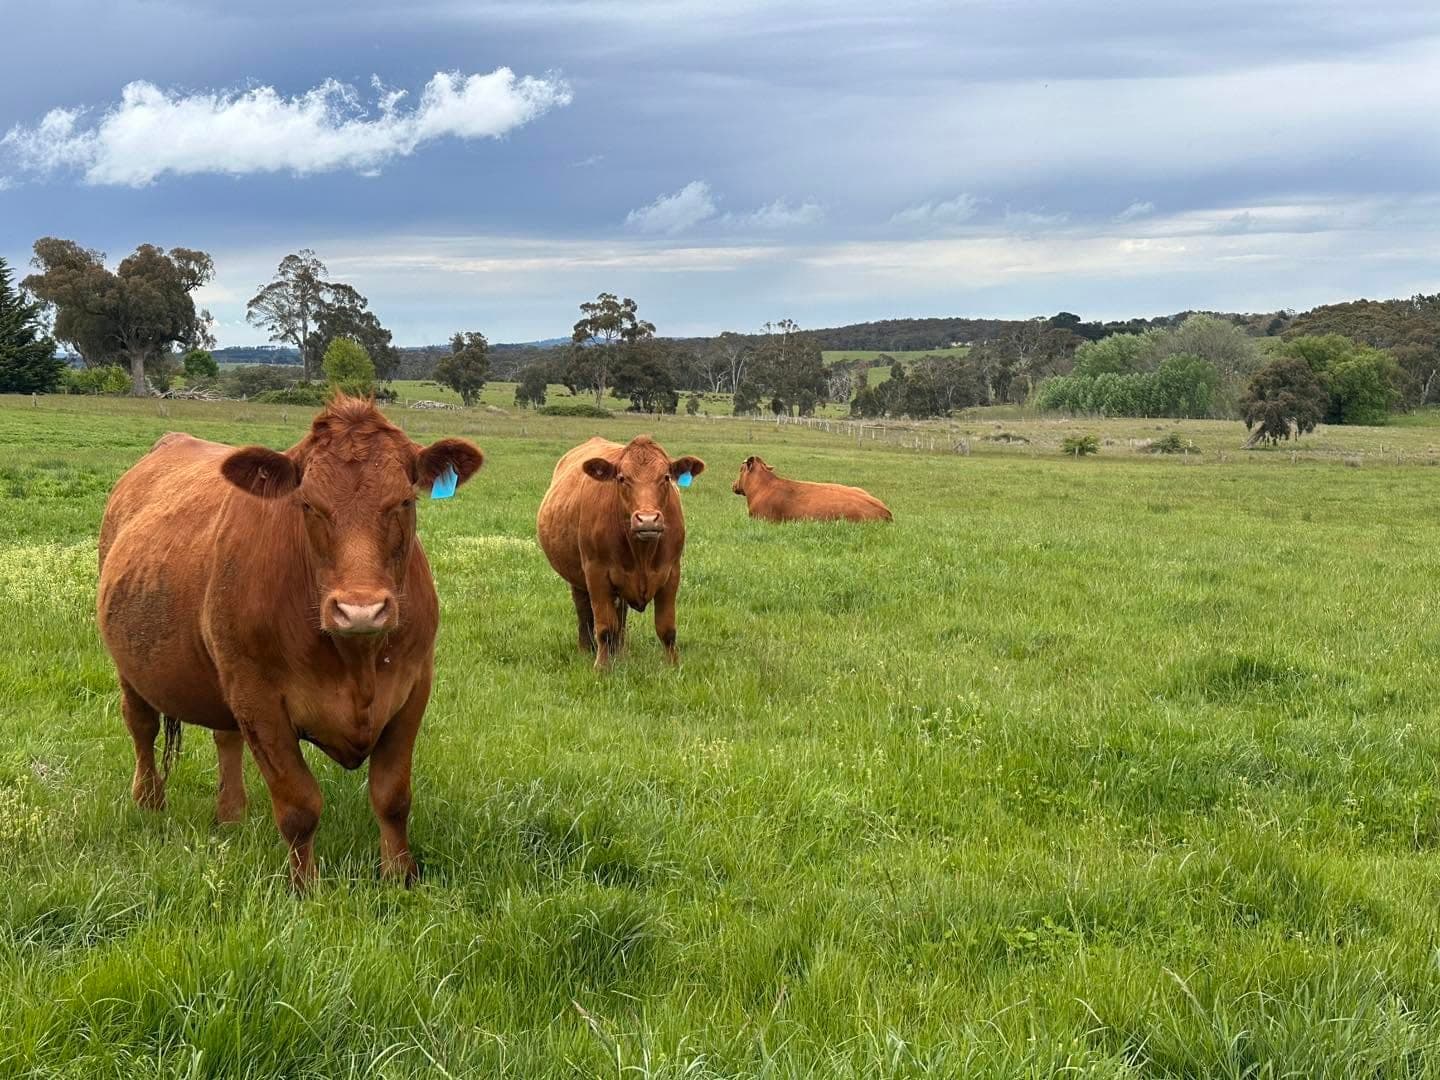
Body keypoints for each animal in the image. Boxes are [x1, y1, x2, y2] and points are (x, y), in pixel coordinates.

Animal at [96, 395, 483, 889]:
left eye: (404, 500)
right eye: (308, 505)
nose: (361, 609)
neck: (356, 660)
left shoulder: (413, 688)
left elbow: (393, 797)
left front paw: (400, 877)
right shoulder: (258, 700)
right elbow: (299, 806)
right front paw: (305, 888)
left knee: (225, 738)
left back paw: (231, 816)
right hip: (132, 666)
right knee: (141, 725)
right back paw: (149, 803)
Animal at [536, 435, 705, 668]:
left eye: (666, 477)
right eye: (622, 478)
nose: (647, 520)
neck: (642, 552)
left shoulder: (671, 573)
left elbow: (667, 628)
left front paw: (673, 665)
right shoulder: (596, 573)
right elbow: (605, 627)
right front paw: (602, 667)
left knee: (621, 617)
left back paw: (620, 653)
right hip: (577, 578)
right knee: (584, 612)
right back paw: (586, 650)